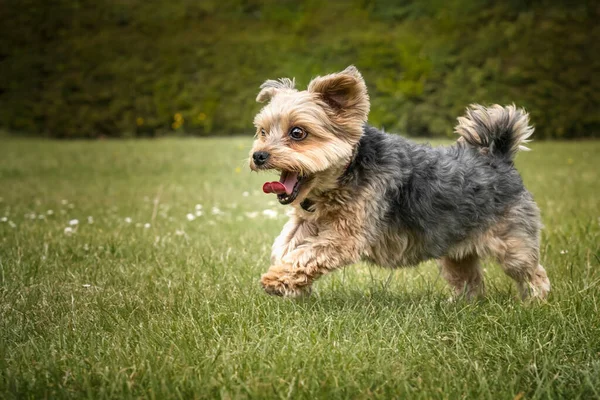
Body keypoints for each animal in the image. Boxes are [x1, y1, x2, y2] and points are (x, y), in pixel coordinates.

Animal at [246, 65, 552, 300]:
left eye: (297, 133)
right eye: (262, 132)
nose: (258, 156)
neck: (344, 175)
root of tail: (500, 157)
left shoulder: (347, 236)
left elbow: (308, 254)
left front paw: (276, 280)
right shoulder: (308, 222)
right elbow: (285, 245)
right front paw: (292, 285)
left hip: (512, 243)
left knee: (533, 273)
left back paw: (535, 302)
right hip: (456, 248)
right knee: (469, 279)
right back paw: (460, 306)